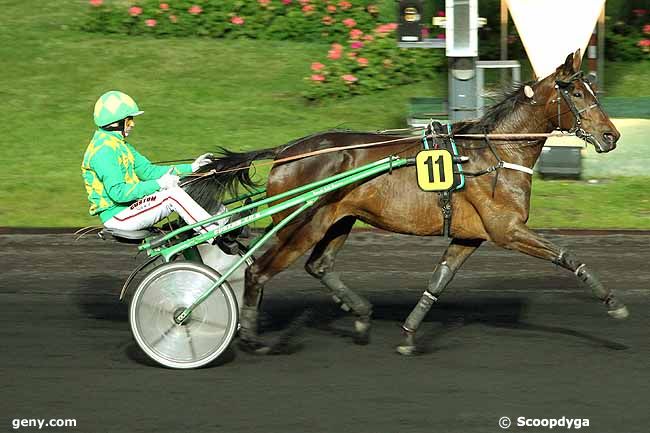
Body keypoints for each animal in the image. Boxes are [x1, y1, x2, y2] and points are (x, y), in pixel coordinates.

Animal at [186, 51, 628, 354]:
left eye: (592, 89)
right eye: (575, 92)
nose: (612, 136)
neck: (495, 153)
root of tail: (287, 151)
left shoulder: (469, 237)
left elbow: (438, 282)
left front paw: (409, 334)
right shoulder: (508, 230)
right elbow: (567, 256)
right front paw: (614, 304)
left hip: (338, 219)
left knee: (319, 265)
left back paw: (360, 315)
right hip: (301, 222)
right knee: (258, 270)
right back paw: (247, 335)